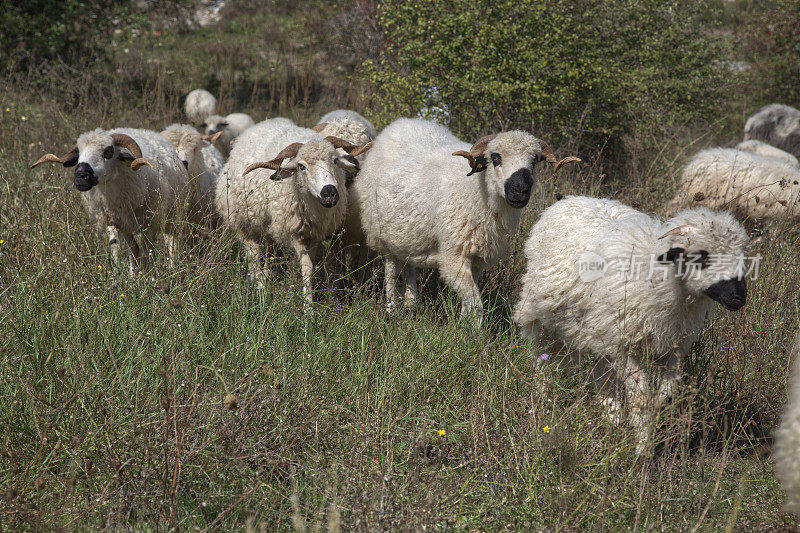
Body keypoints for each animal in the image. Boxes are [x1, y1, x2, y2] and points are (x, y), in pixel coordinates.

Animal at [31, 127, 195, 272]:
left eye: (108, 152)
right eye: (79, 153)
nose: (80, 176)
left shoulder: (149, 222)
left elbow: (148, 251)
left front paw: (150, 278)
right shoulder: (114, 221)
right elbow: (119, 248)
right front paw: (123, 276)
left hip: (172, 216)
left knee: (170, 244)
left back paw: (172, 269)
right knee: (134, 248)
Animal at [214, 116, 374, 308]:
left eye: (335, 160)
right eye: (301, 166)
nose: (329, 193)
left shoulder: (315, 235)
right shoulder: (293, 233)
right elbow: (307, 267)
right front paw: (308, 307)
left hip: (268, 227)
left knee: (268, 251)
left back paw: (267, 278)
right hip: (242, 224)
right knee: (253, 256)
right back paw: (259, 288)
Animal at [354, 117, 580, 320]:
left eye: (534, 160)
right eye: (495, 157)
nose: (520, 190)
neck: (477, 189)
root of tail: (399, 124)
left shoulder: (479, 258)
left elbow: (470, 301)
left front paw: (464, 325)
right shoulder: (454, 256)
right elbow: (474, 303)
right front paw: (473, 334)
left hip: (408, 236)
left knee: (409, 269)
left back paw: (411, 305)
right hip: (381, 235)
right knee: (391, 273)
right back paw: (392, 310)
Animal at [512, 195, 752, 454]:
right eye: (702, 256)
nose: (739, 297)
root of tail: (574, 198)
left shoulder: (673, 347)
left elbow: (667, 395)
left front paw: (654, 414)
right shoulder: (624, 346)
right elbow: (640, 400)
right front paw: (643, 451)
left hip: (599, 331)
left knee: (602, 374)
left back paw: (613, 418)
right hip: (541, 316)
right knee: (542, 359)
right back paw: (542, 399)